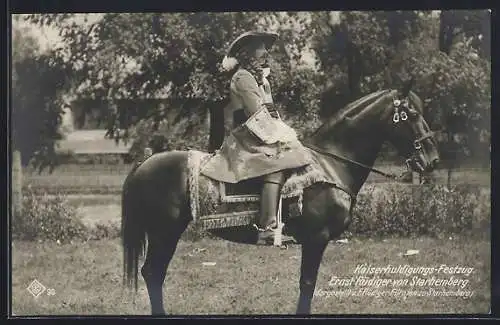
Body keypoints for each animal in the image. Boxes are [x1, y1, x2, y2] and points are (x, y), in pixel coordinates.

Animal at [123, 84, 440, 314]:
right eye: (412, 115)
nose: (432, 160)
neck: (330, 163)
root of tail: (144, 163)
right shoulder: (316, 238)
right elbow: (307, 284)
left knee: (153, 273)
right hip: (164, 232)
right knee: (152, 273)